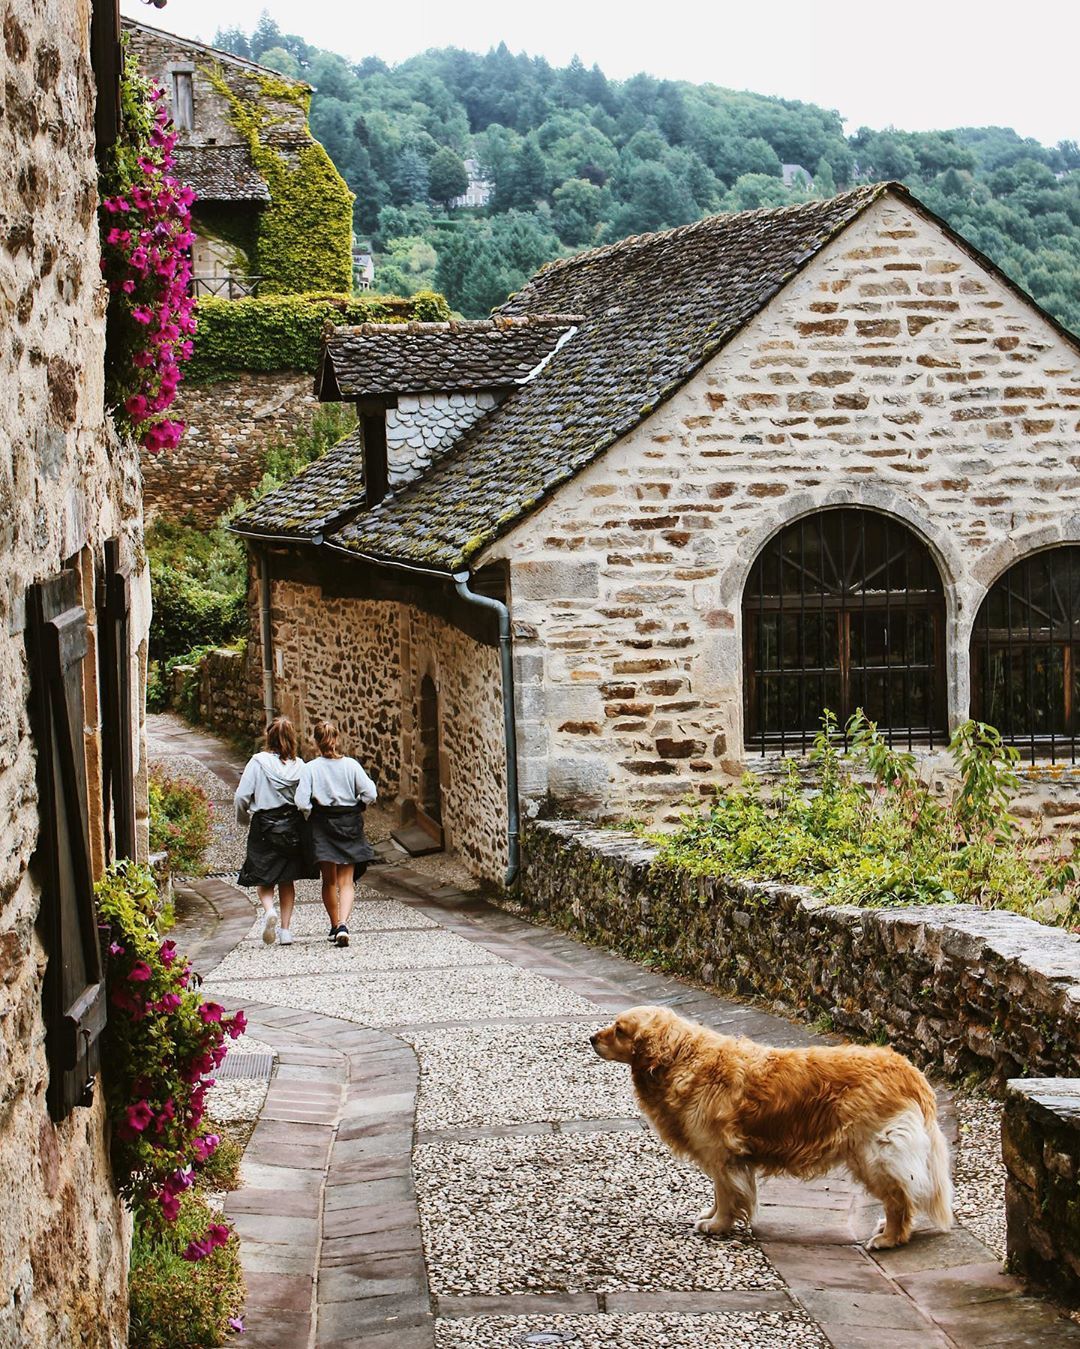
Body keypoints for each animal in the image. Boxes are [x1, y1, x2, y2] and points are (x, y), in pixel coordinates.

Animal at [590, 1009, 954, 1246]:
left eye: (619, 1029)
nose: (591, 1037)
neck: (682, 1059)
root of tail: (909, 1070)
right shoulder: (724, 1158)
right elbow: (720, 1193)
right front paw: (711, 1215)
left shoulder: (723, 1155)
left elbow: (727, 1193)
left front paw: (718, 1224)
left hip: (873, 1154)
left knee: (899, 1198)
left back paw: (890, 1238)